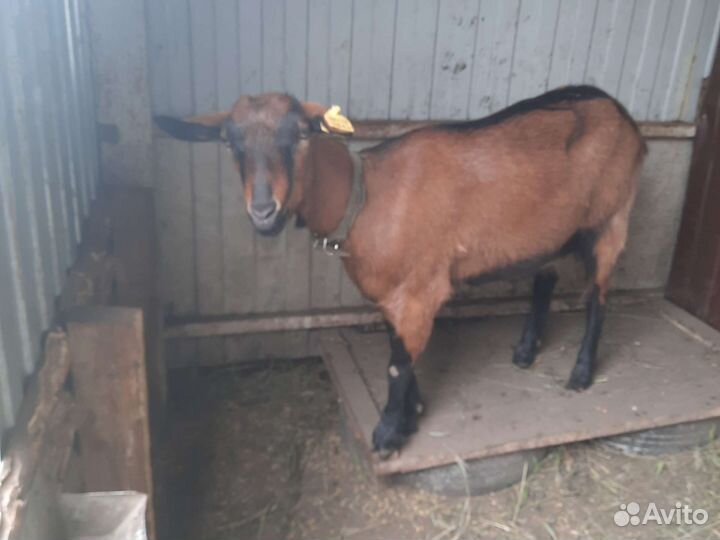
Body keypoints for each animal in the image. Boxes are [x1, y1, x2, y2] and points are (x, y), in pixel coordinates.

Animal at [156, 85, 646, 455]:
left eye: (300, 134)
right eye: (228, 141)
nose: (263, 210)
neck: (364, 198)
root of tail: (622, 113)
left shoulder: (420, 293)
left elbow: (396, 366)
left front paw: (390, 434)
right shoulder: (392, 297)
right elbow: (400, 354)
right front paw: (412, 414)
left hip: (614, 216)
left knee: (599, 297)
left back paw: (581, 374)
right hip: (551, 231)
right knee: (546, 277)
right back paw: (526, 351)